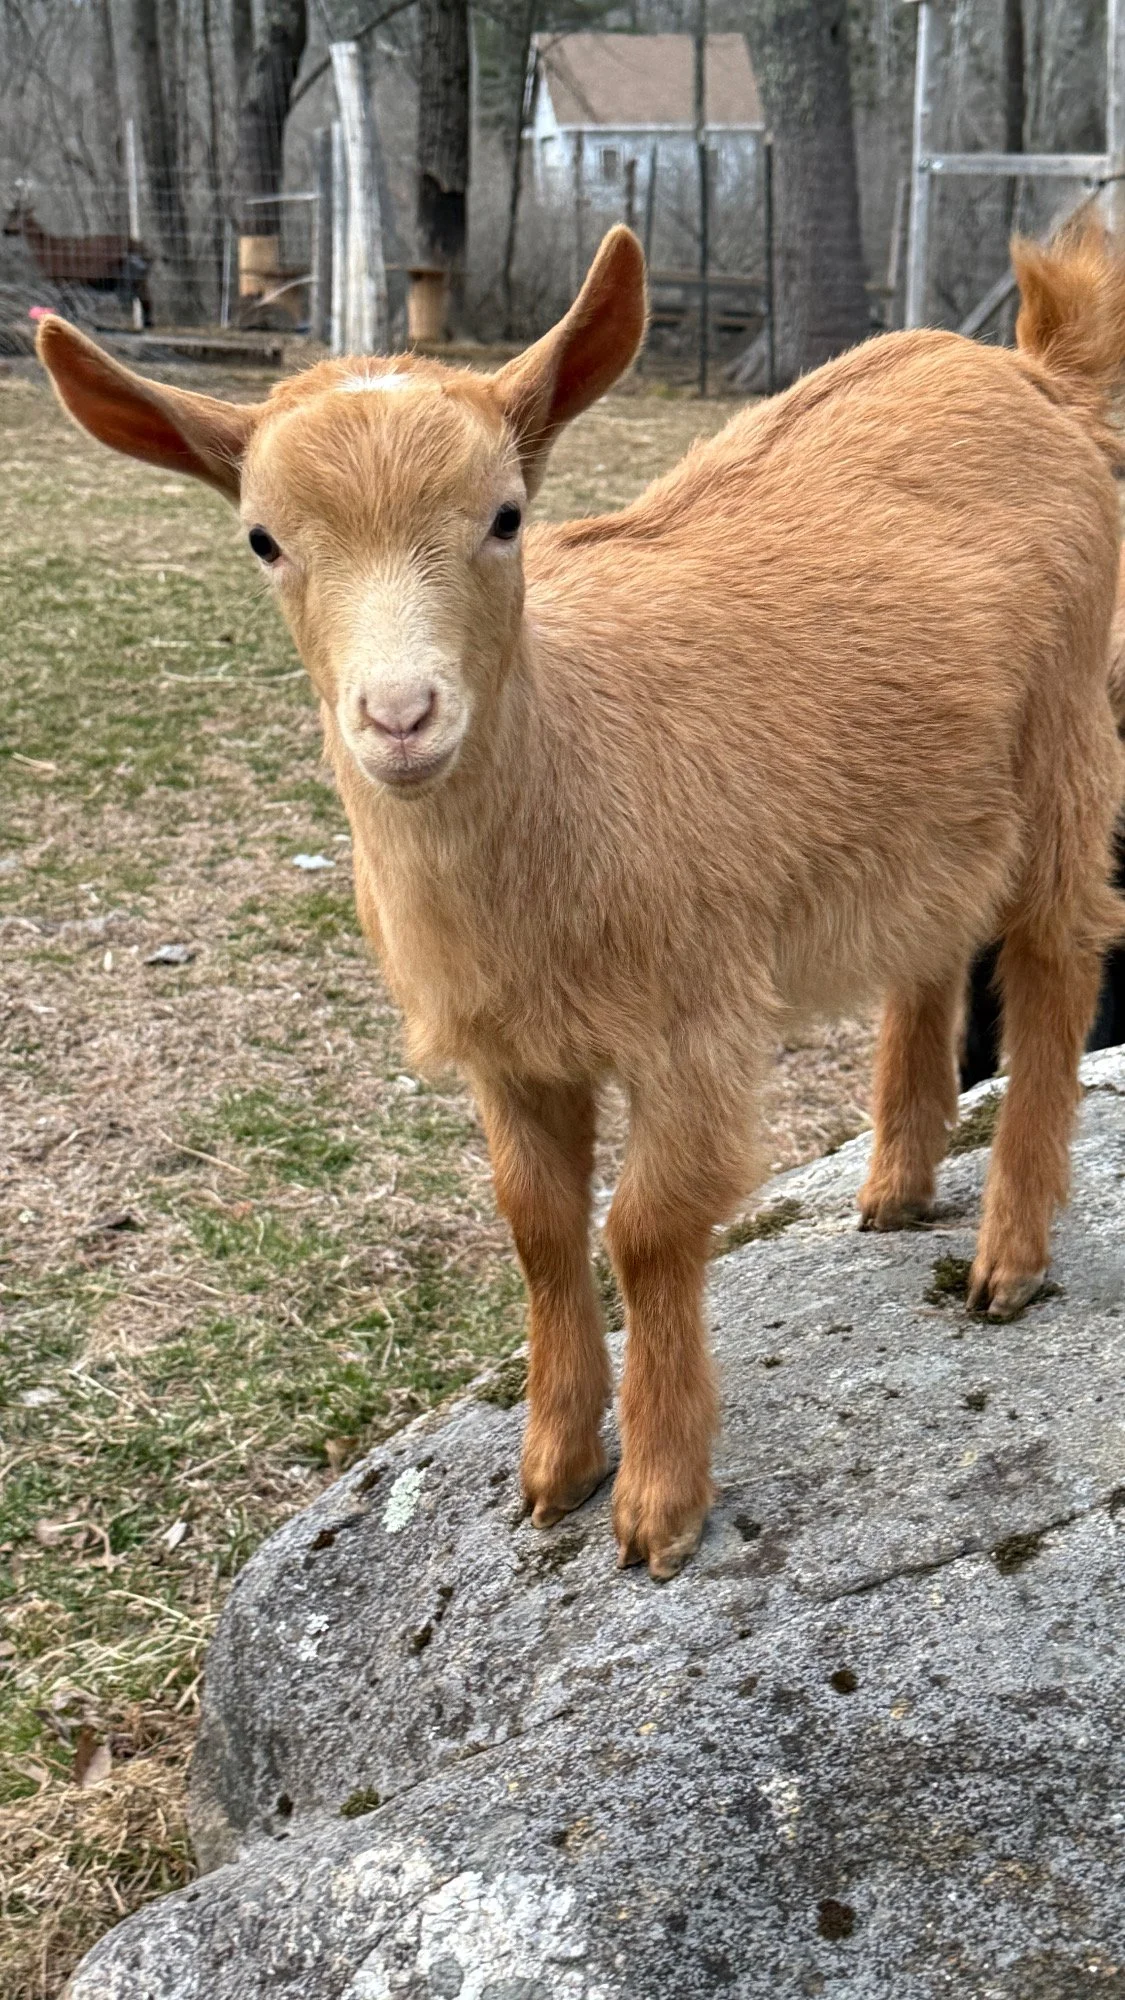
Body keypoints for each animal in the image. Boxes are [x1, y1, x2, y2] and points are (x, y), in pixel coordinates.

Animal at [4, 196, 151, 326]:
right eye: (10, 214)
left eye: (16, 215)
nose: (5, 230)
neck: (49, 252)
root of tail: (145, 249)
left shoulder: (61, 277)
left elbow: (65, 303)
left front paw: (67, 321)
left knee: (145, 297)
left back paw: (147, 323)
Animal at [35, 225, 1125, 1579]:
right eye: (263, 540)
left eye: (506, 516)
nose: (401, 716)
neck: (567, 780)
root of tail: (1037, 371)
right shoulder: (509, 1052)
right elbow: (539, 1225)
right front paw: (552, 1470)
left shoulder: (695, 1016)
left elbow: (645, 1230)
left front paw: (659, 1504)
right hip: (931, 800)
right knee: (927, 942)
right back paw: (896, 1186)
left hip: (1070, 732)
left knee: (1053, 956)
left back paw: (1008, 1258)